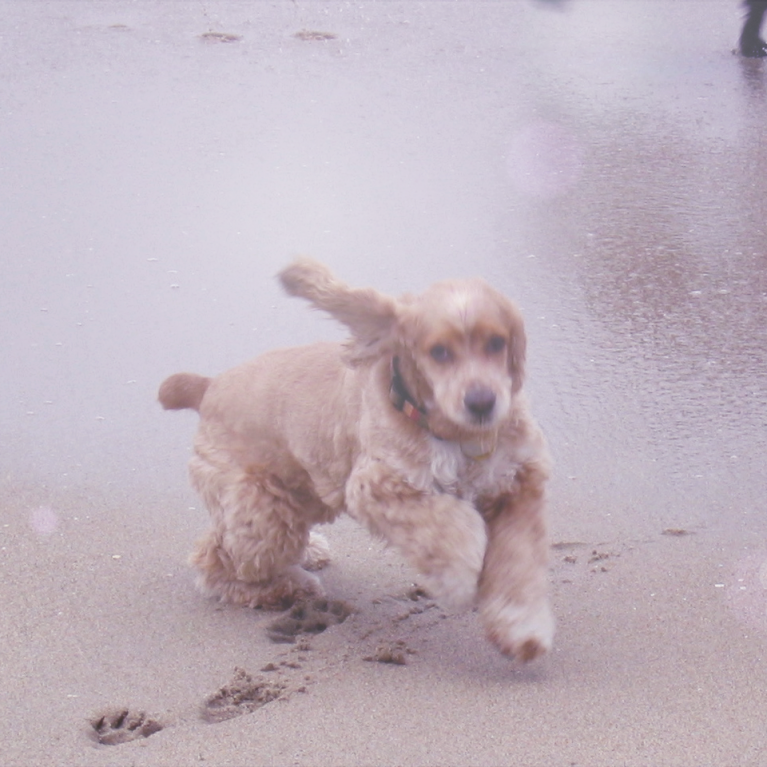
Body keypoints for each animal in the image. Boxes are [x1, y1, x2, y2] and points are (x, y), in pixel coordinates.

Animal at [159, 256, 552, 660]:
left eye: (496, 343)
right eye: (439, 351)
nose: (481, 402)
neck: (457, 435)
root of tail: (208, 386)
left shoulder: (515, 483)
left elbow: (519, 561)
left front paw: (523, 629)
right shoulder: (380, 485)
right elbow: (447, 531)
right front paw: (457, 578)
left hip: (304, 486)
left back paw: (310, 551)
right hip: (262, 505)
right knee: (217, 558)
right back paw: (284, 586)